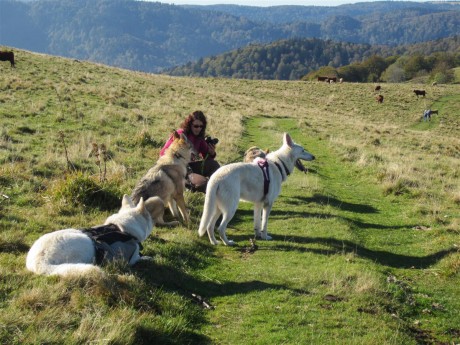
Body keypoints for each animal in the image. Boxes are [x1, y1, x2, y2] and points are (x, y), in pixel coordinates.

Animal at [26, 195, 162, 276]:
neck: (121, 228)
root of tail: (38, 261)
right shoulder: (130, 260)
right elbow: (139, 257)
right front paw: (147, 257)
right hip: (84, 244)